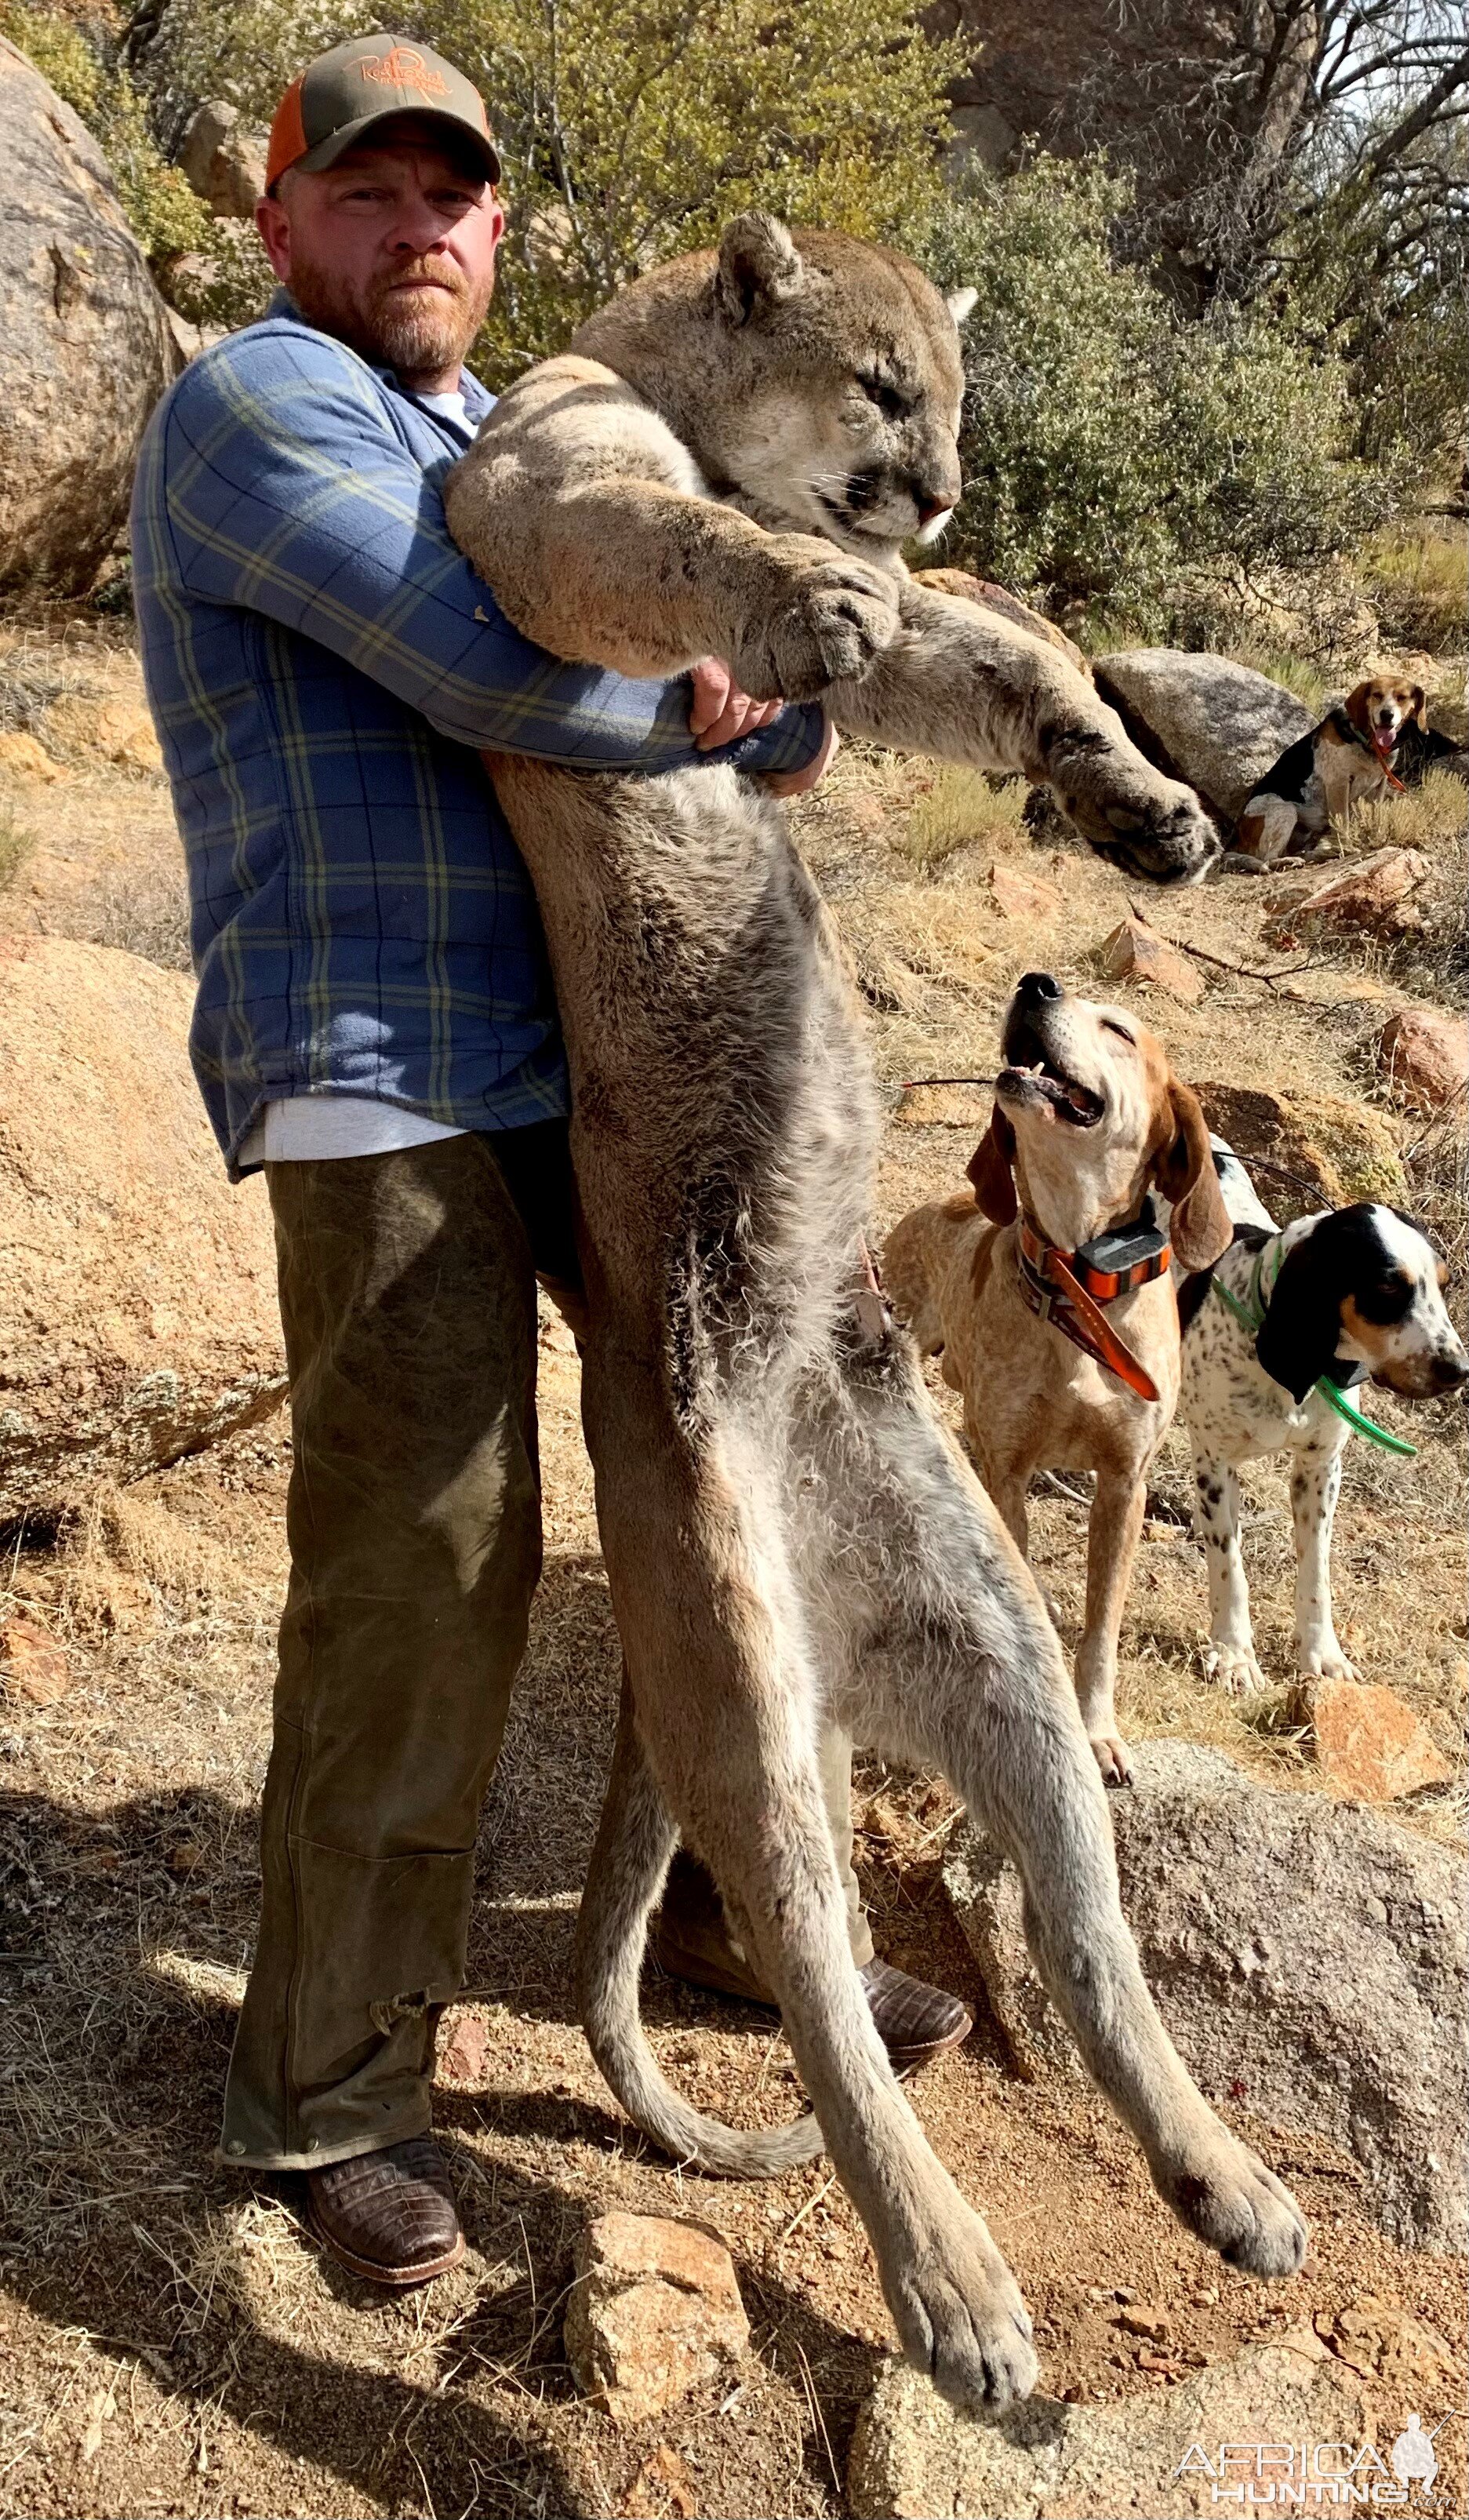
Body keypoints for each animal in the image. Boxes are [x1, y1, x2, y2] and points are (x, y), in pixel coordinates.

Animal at [882, 962, 1234, 1773]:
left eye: (1119, 1030)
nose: (1034, 984)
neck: (1075, 1280)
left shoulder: (1124, 1481)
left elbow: (1101, 1629)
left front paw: (1098, 1731)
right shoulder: (1008, 1470)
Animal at [1184, 1174, 1469, 1693]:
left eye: (1444, 1285)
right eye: (1387, 1287)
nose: (1459, 1370)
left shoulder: (1319, 1471)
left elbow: (1316, 1575)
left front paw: (1323, 1656)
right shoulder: (1216, 1461)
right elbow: (1230, 1572)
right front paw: (1234, 1655)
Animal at [1234, 675, 1431, 871]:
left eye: (1401, 697)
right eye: (1377, 695)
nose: (1386, 715)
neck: (1367, 743)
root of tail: (1236, 839)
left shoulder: (1379, 786)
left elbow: (1376, 818)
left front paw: (1376, 840)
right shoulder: (1339, 783)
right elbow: (1343, 822)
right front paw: (1348, 848)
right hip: (1284, 809)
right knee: (1268, 860)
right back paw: (1291, 861)